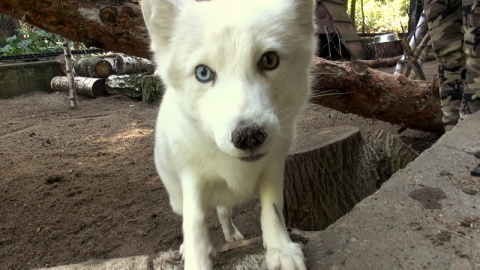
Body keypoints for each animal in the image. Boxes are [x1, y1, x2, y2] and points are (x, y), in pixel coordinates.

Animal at [141, 1, 316, 268]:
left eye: (269, 60)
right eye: (203, 73)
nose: (248, 135)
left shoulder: (274, 166)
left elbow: (273, 209)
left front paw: (281, 249)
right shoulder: (192, 178)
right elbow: (195, 225)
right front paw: (197, 259)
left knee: (224, 210)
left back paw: (232, 235)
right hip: (176, 199)